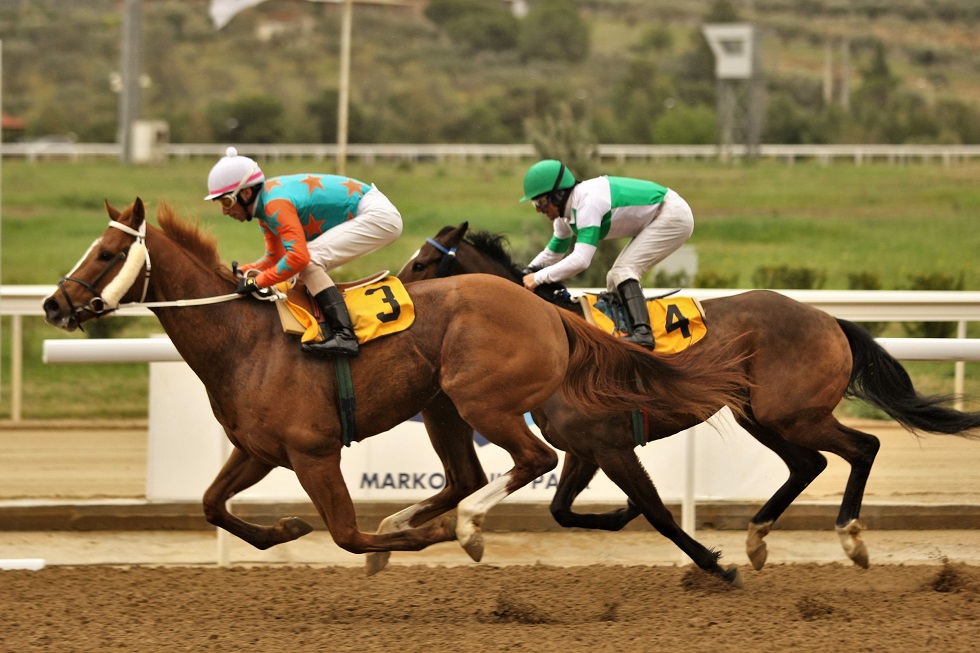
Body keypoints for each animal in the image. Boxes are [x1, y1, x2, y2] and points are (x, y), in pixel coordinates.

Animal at [38, 199, 748, 572]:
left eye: (107, 255)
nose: (52, 305)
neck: (243, 341)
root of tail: (546, 310)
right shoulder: (259, 450)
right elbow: (213, 505)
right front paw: (284, 531)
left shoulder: (313, 452)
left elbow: (347, 534)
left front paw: (414, 541)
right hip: (444, 409)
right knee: (472, 476)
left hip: (482, 401)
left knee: (531, 460)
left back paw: (466, 526)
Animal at [396, 222, 980, 580]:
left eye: (422, 263)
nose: (396, 297)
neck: (553, 334)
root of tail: (827, 318)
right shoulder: (585, 448)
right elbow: (564, 511)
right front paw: (622, 514)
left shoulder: (610, 446)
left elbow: (657, 512)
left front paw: (714, 564)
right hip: (756, 415)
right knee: (808, 464)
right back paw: (758, 538)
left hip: (792, 412)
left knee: (862, 448)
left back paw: (850, 539)